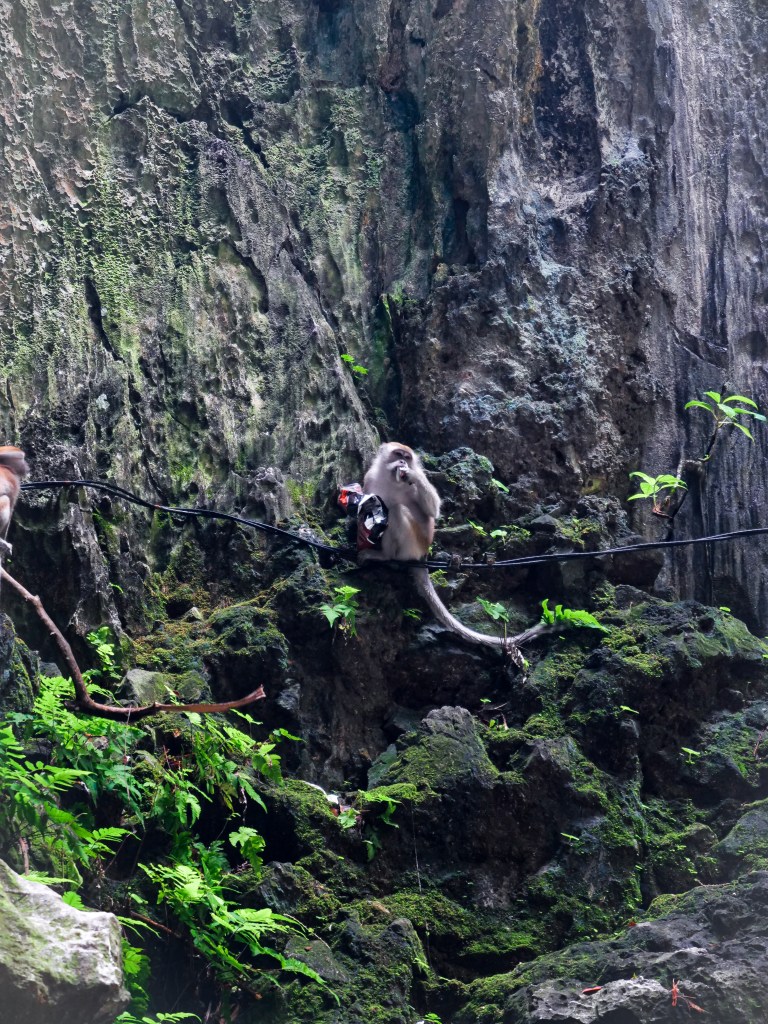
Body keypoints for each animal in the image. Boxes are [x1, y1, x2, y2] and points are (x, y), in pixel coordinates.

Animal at [359, 442, 524, 663]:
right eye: (397, 454)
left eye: (407, 458)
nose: (402, 462)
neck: (390, 480)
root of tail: (423, 554)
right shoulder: (370, 478)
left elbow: (433, 509)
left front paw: (411, 474)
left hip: (413, 545)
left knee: (397, 511)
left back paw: (387, 556)